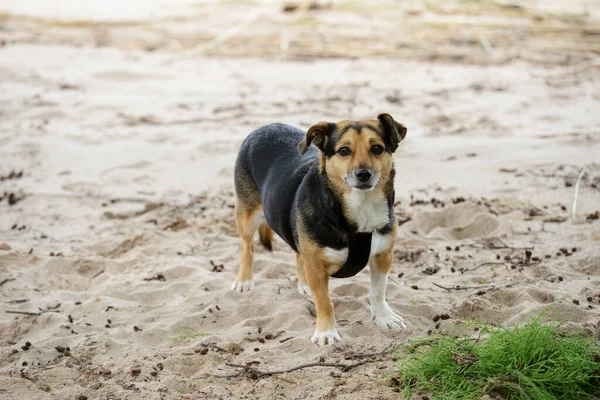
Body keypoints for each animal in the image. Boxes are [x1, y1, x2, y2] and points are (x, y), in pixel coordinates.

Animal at [232, 114, 406, 346]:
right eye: (344, 151)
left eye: (377, 148)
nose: (363, 174)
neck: (360, 207)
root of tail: (265, 126)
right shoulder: (316, 267)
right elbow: (324, 302)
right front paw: (326, 332)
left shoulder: (383, 256)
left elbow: (378, 291)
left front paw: (383, 317)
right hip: (247, 214)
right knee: (247, 246)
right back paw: (244, 280)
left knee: (298, 253)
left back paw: (304, 284)